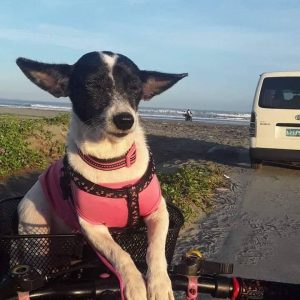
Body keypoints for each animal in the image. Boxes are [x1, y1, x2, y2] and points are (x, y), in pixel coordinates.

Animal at [15, 52, 188, 300]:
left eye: (135, 87)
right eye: (92, 85)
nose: (125, 119)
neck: (113, 161)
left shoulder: (158, 212)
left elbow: (155, 250)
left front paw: (159, 284)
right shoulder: (92, 227)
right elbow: (120, 254)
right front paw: (135, 285)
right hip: (35, 232)